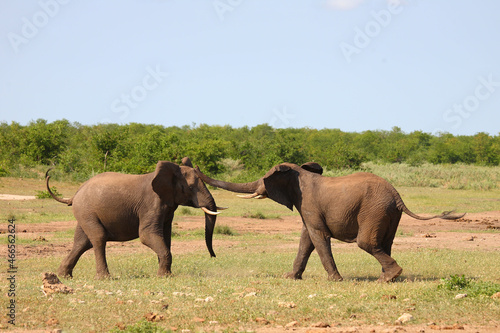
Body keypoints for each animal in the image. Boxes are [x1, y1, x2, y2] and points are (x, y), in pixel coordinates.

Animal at [45, 158, 221, 278]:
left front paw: (166, 274)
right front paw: (163, 276)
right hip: (86, 211)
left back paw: (63, 275)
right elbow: (147, 235)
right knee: (98, 237)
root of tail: (74, 195)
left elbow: (166, 237)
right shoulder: (151, 205)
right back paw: (104, 278)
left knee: (82, 242)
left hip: (84, 213)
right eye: (190, 187)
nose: (213, 256)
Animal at [196, 162, 464, 282]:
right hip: (387, 212)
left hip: (374, 210)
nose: (195, 166)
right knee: (384, 244)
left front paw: (335, 280)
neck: (299, 173)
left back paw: (389, 276)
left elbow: (317, 237)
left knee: (366, 243)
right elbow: (306, 239)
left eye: (264, 180)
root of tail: (397, 195)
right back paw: (388, 278)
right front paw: (290, 277)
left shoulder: (309, 204)